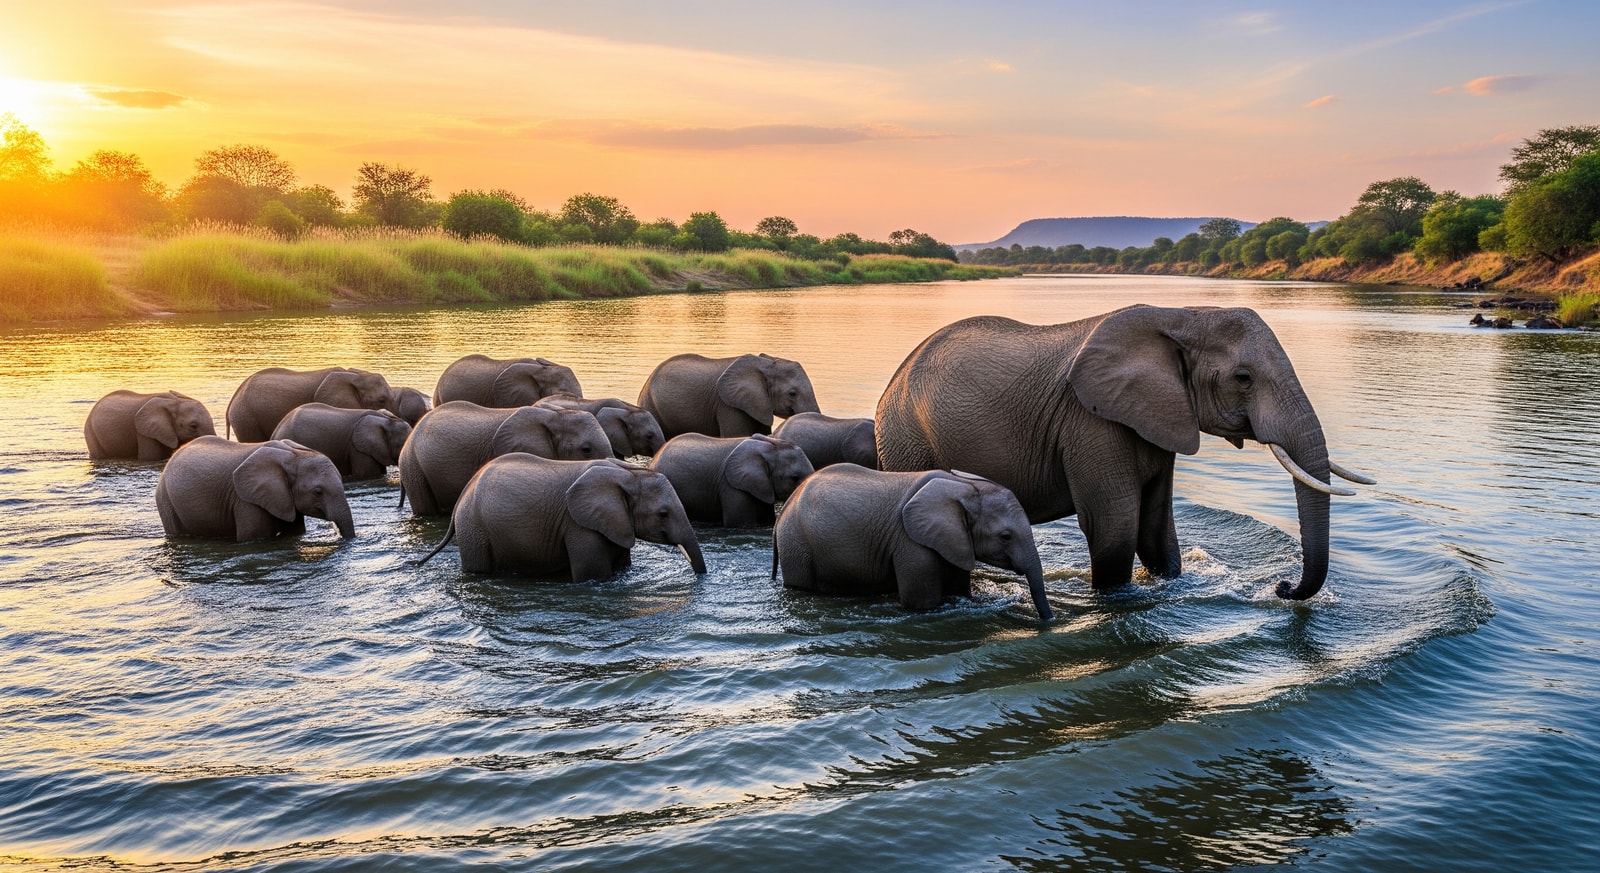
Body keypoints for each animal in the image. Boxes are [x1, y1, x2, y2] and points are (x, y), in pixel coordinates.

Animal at [155, 436, 355, 541]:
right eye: (318, 492)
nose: (338, 535)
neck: (295, 455)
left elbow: (295, 532)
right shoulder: (246, 501)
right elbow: (253, 538)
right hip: (165, 501)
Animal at [416, 455, 706, 581]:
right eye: (663, 514)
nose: (700, 580)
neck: (629, 473)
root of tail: (462, 495)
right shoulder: (579, 526)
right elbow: (593, 575)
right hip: (474, 527)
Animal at [773, 466, 1051, 618]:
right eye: (1005, 536)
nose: (1048, 622)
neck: (962, 486)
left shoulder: (953, 540)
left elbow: (959, 589)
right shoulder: (910, 541)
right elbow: (921, 602)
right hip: (796, 544)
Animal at [875, 305, 1374, 601]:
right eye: (1244, 378)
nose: (1282, 586)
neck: (1180, 318)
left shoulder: (1160, 415)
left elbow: (1155, 528)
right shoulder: (1089, 422)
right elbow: (1114, 526)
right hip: (906, 438)